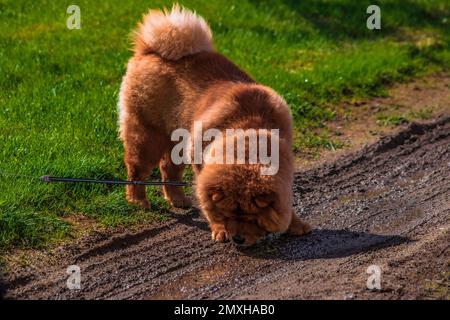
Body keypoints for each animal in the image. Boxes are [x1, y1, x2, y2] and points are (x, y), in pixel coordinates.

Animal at [118, 4, 312, 245]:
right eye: (227, 214)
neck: (248, 128)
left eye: (251, 218)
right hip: (148, 134)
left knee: (168, 168)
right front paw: (220, 230)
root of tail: (149, 50)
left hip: (178, 139)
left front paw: (296, 224)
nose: (238, 239)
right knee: (137, 168)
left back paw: (178, 199)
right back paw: (138, 200)